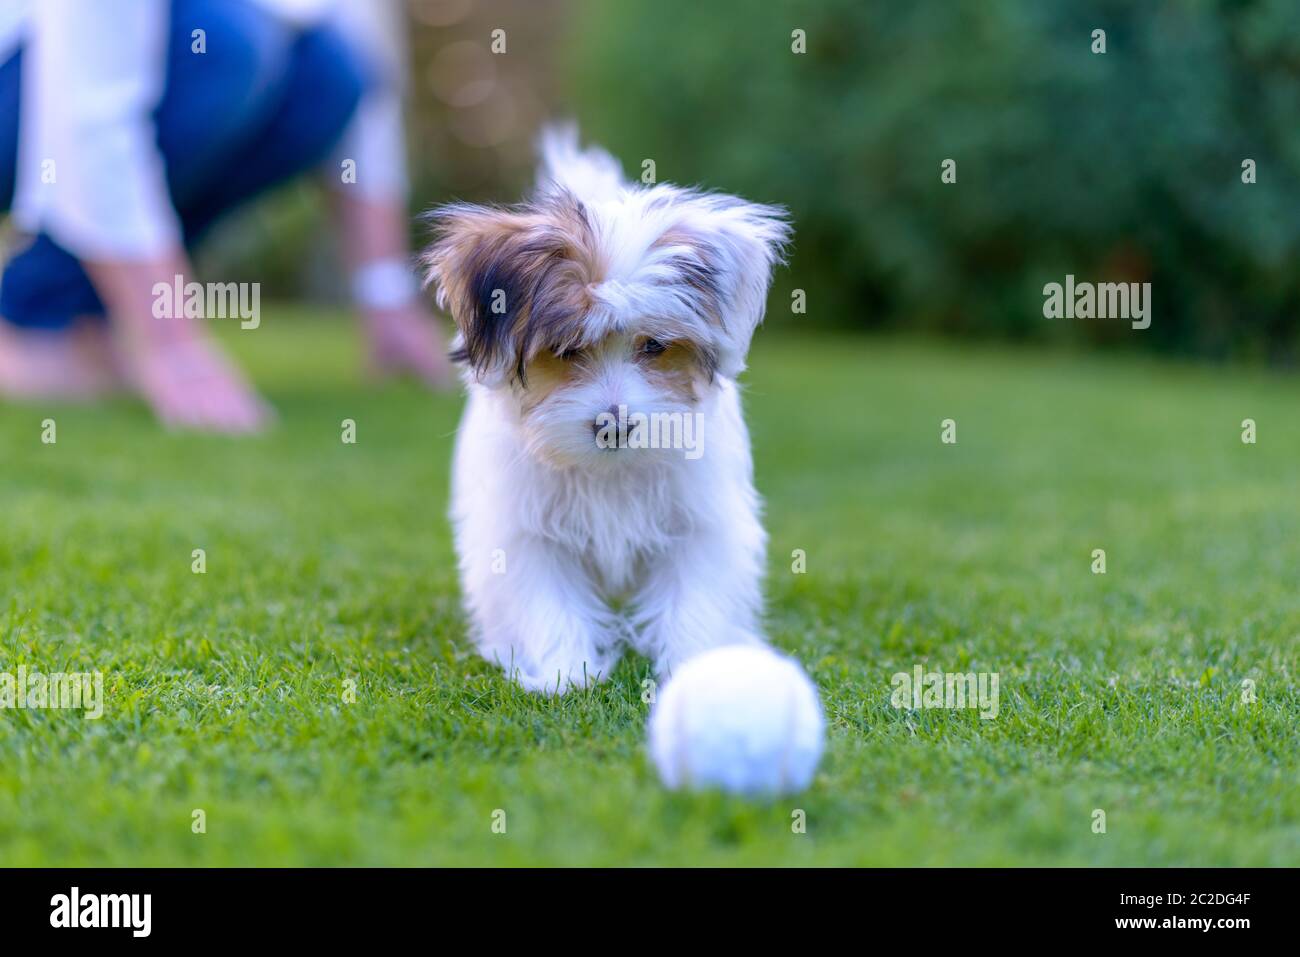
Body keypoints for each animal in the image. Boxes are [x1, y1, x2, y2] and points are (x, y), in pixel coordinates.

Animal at [428, 128, 790, 696]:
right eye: (566, 349)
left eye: (655, 345)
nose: (615, 424)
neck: (609, 473)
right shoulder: (528, 534)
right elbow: (546, 600)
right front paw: (564, 672)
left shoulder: (700, 522)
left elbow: (696, 596)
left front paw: (697, 665)